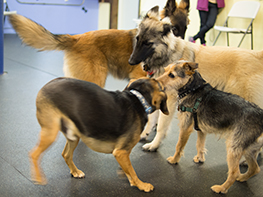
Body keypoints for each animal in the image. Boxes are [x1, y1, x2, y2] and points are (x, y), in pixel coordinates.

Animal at [8, 0, 190, 87]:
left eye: (185, 28)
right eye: (173, 29)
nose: (182, 47)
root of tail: (76, 38)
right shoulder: (139, 77)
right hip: (95, 77)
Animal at [28, 77, 169, 192]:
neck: (139, 99)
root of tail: (47, 85)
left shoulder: (122, 155)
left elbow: (128, 171)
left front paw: (132, 181)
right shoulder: (121, 152)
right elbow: (132, 171)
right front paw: (141, 185)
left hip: (74, 136)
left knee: (66, 154)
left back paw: (75, 172)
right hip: (50, 133)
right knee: (34, 154)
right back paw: (39, 178)